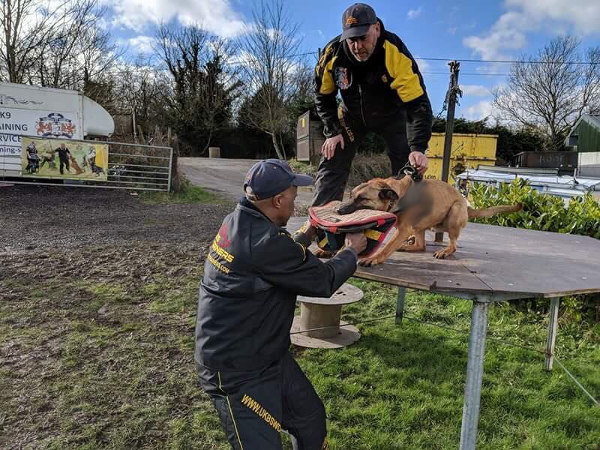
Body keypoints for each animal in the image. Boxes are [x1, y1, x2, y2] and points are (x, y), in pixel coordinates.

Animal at [338, 176, 520, 266]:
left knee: (452, 245)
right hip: (419, 226)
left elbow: (387, 247)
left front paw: (374, 258)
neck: (397, 195)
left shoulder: (403, 229)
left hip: (454, 213)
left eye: (362, 199)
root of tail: (466, 206)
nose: (339, 211)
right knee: (421, 245)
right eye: (351, 195)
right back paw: (407, 245)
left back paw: (445, 251)